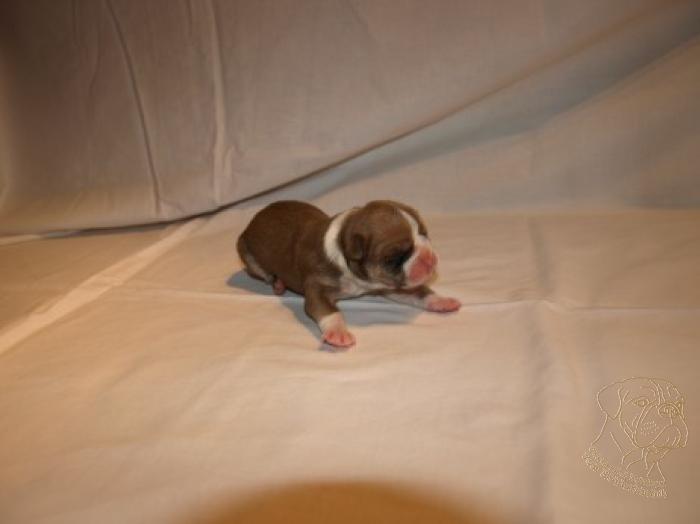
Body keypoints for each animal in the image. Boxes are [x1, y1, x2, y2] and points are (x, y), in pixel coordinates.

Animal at [236, 200, 461, 347]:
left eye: (424, 234)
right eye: (394, 258)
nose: (429, 259)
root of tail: (255, 217)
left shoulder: (390, 285)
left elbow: (418, 292)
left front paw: (441, 300)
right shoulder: (316, 287)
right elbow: (328, 311)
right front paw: (338, 333)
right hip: (246, 252)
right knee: (263, 273)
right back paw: (278, 283)